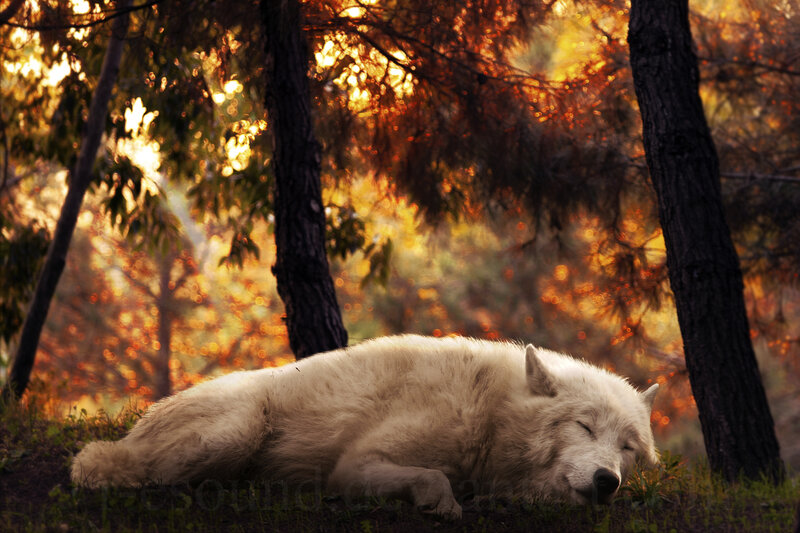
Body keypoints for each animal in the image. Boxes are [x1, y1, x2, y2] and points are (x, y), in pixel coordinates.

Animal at [71, 335, 659, 519]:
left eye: (627, 448)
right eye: (584, 427)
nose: (608, 482)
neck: (489, 413)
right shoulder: (355, 466)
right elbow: (433, 477)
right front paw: (443, 504)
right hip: (234, 433)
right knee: (137, 471)